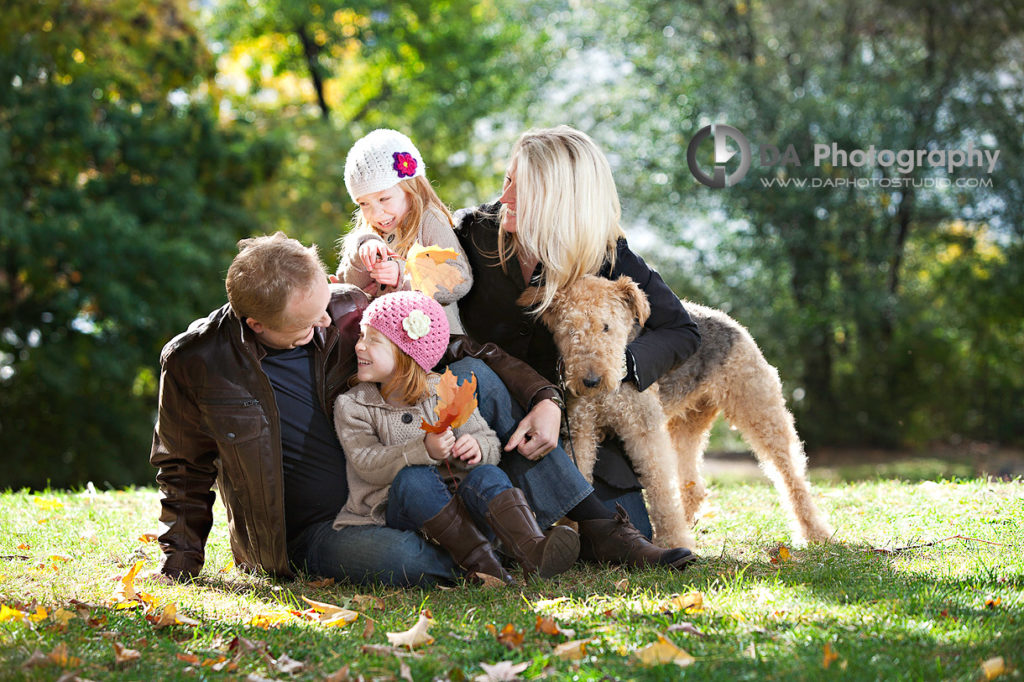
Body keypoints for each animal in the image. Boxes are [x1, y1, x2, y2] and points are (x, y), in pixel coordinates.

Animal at [520, 274, 831, 544]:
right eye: (569, 330)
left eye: (606, 327)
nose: (591, 382)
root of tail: (725, 318)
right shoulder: (581, 431)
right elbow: (581, 478)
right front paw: (573, 531)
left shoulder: (643, 430)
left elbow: (659, 487)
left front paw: (672, 541)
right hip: (686, 425)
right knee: (693, 485)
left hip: (759, 410)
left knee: (791, 475)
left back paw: (814, 532)